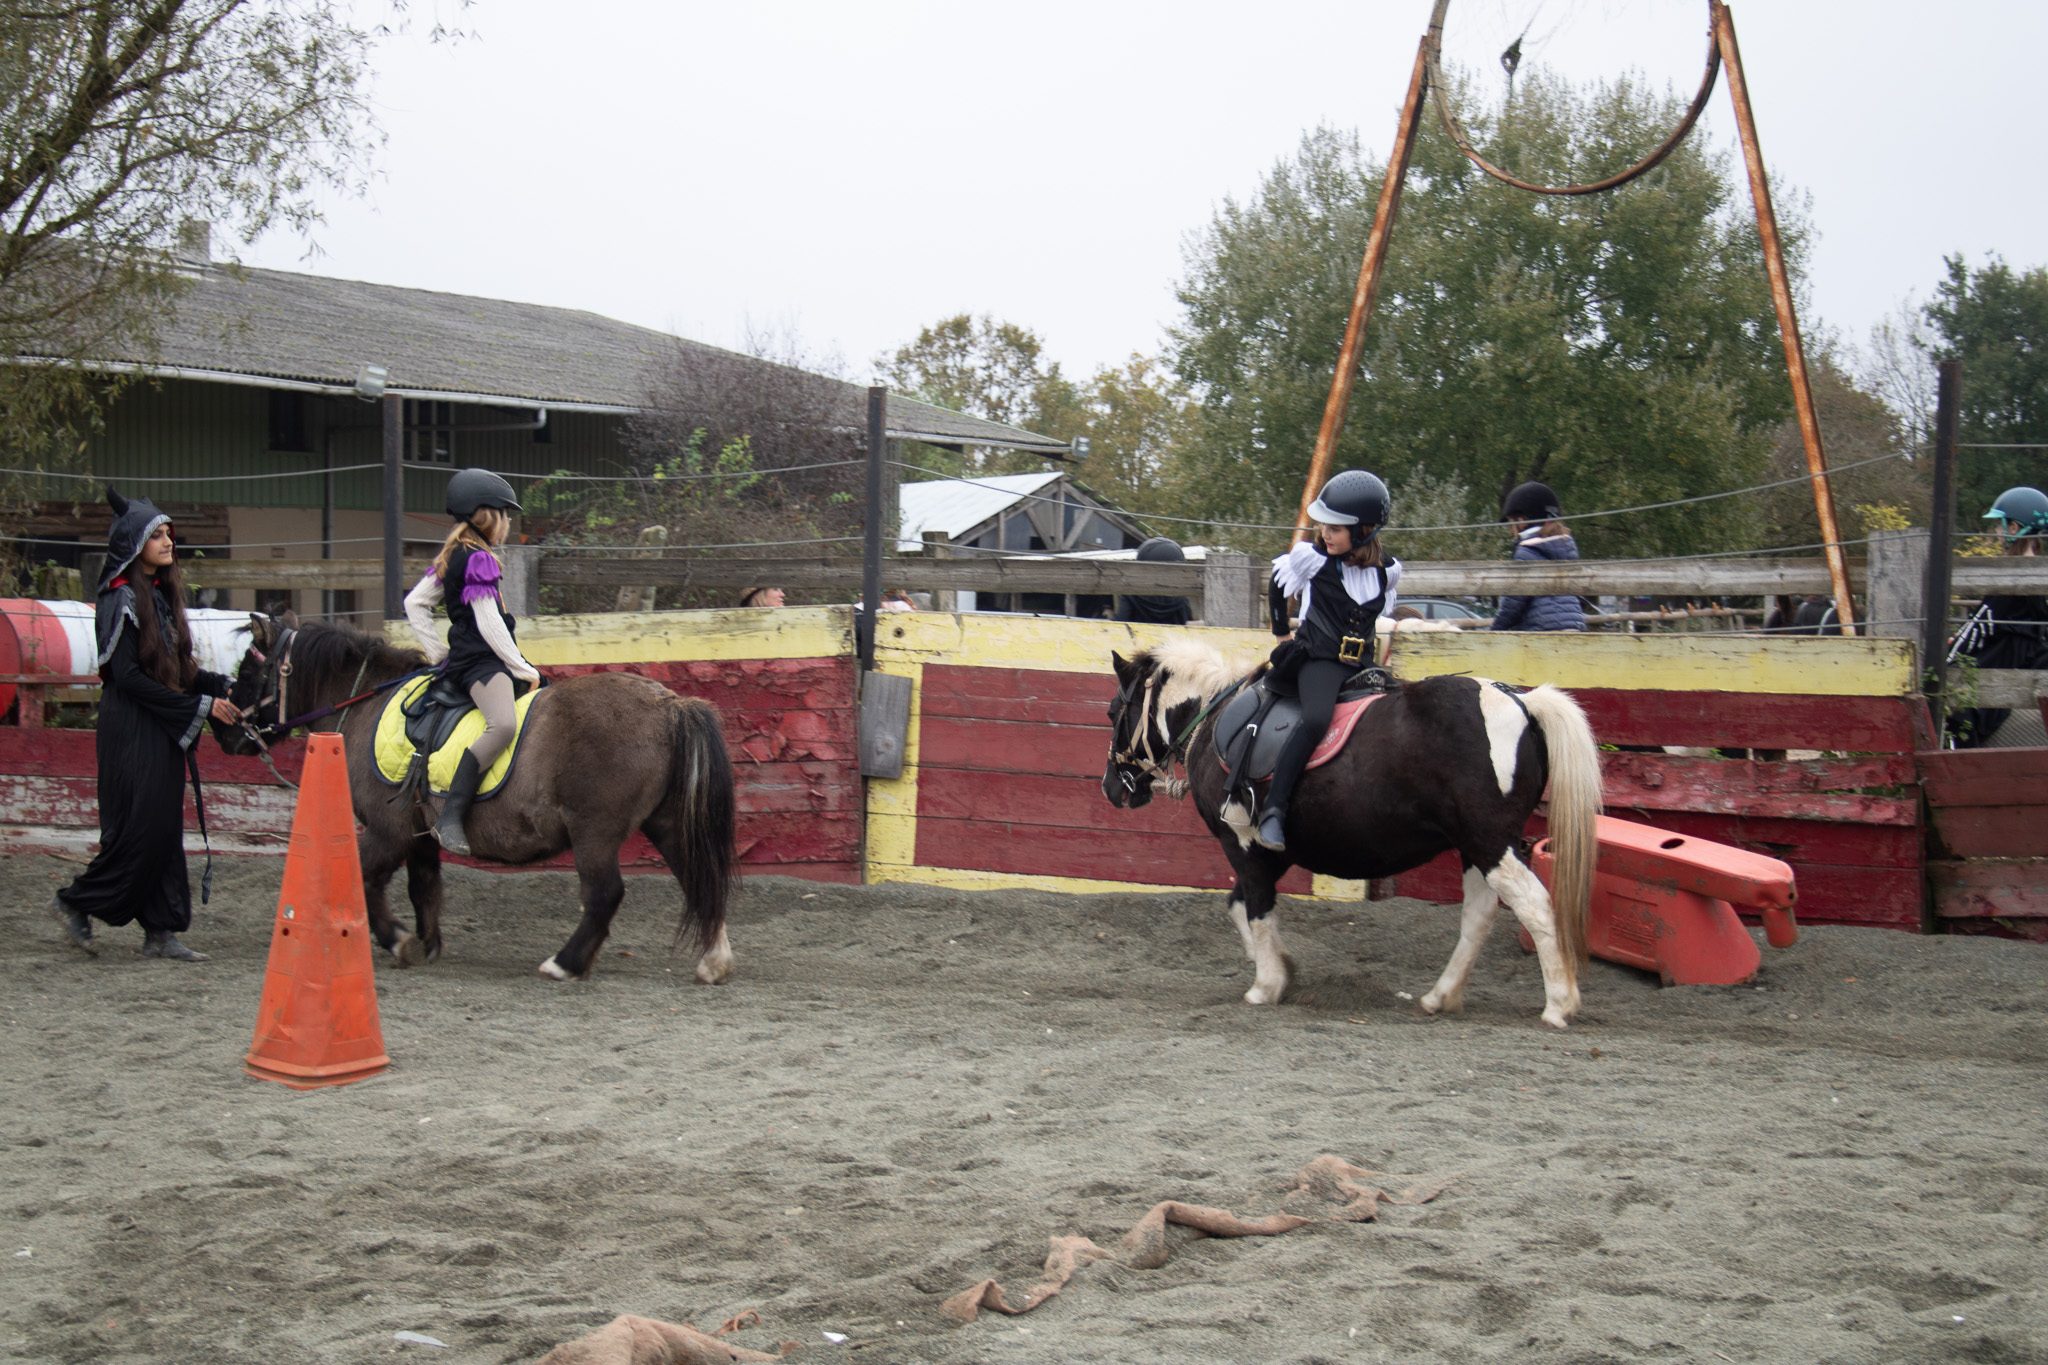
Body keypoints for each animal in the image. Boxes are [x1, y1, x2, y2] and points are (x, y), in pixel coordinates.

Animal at [213, 613, 739, 984]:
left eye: (248, 670)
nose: (222, 731)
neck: (364, 705)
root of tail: (670, 705)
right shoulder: (418, 833)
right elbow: (422, 886)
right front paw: (426, 943)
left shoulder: (387, 830)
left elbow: (363, 879)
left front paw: (397, 940)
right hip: (665, 823)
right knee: (697, 879)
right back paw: (714, 961)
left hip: (595, 831)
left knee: (605, 894)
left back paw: (565, 963)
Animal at [1102, 639, 1600, 1028]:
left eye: (1112, 711)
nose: (1110, 786)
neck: (1218, 719)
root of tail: (1521, 703)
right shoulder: (1268, 852)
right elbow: (1240, 906)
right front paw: (1281, 964)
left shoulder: (1241, 843)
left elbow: (1257, 909)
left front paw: (1266, 984)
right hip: (1475, 848)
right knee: (1478, 917)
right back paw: (1441, 996)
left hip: (1491, 843)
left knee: (1535, 907)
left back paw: (1559, 1004)